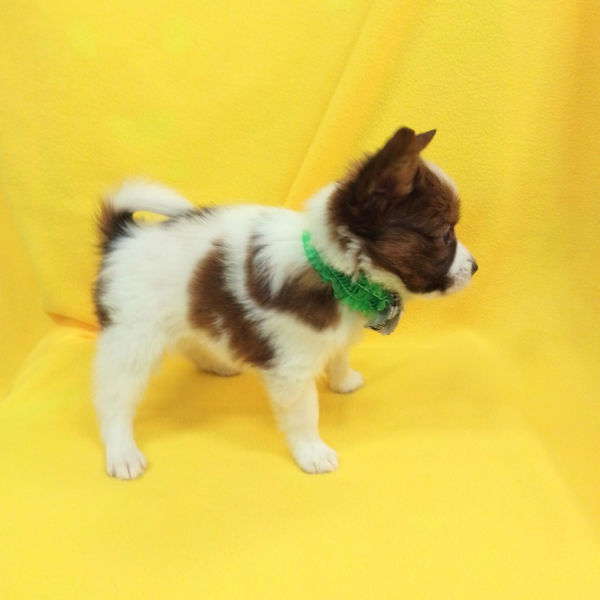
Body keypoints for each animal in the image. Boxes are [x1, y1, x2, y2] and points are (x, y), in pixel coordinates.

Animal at [93, 127, 477, 479]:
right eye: (445, 235)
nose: (475, 267)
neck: (334, 272)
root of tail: (124, 235)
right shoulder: (291, 368)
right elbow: (306, 412)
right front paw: (313, 453)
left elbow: (339, 354)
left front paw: (343, 381)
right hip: (133, 339)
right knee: (114, 398)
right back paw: (122, 453)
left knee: (190, 339)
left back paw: (216, 363)